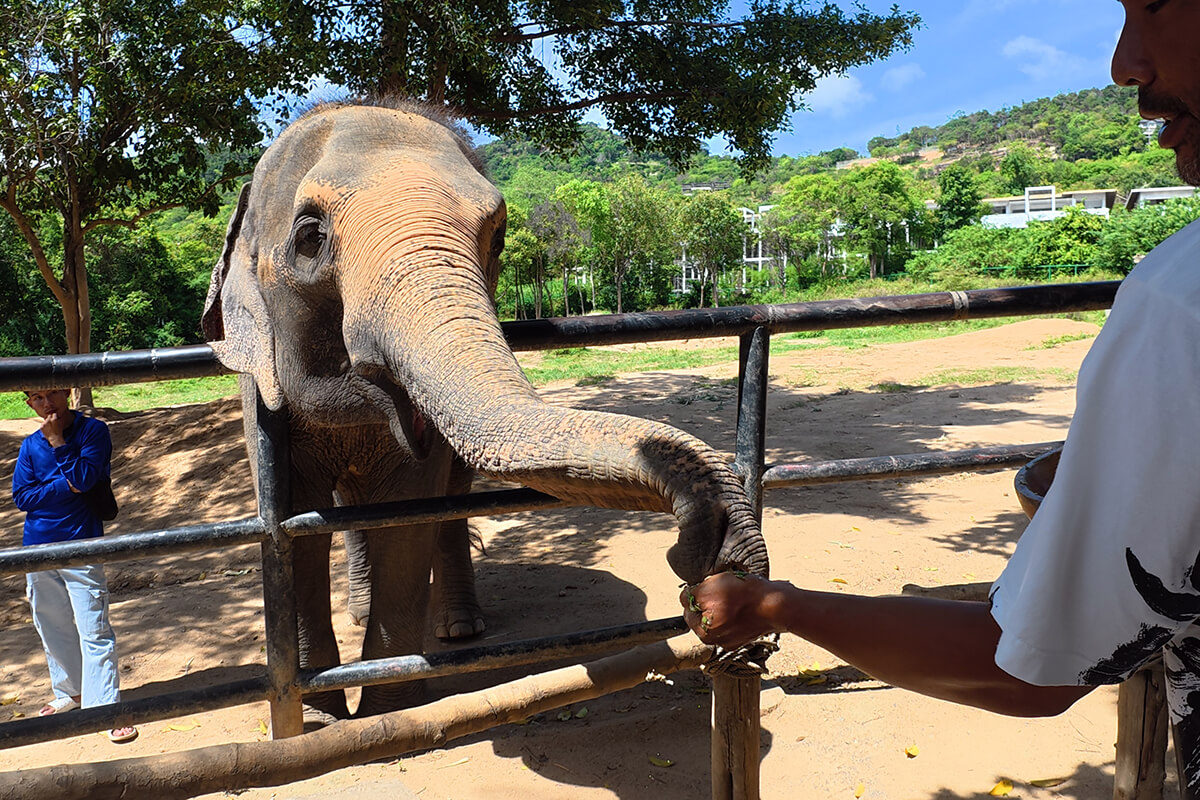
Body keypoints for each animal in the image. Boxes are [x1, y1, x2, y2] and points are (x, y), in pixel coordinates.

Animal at [201, 98, 769, 724]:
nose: (712, 549)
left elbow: (411, 512)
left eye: (496, 236)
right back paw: (360, 611)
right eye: (308, 236)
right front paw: (326, 717)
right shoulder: (260, 396)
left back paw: (457, 627)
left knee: (445, 504)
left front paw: (387, 713)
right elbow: (294, 521)